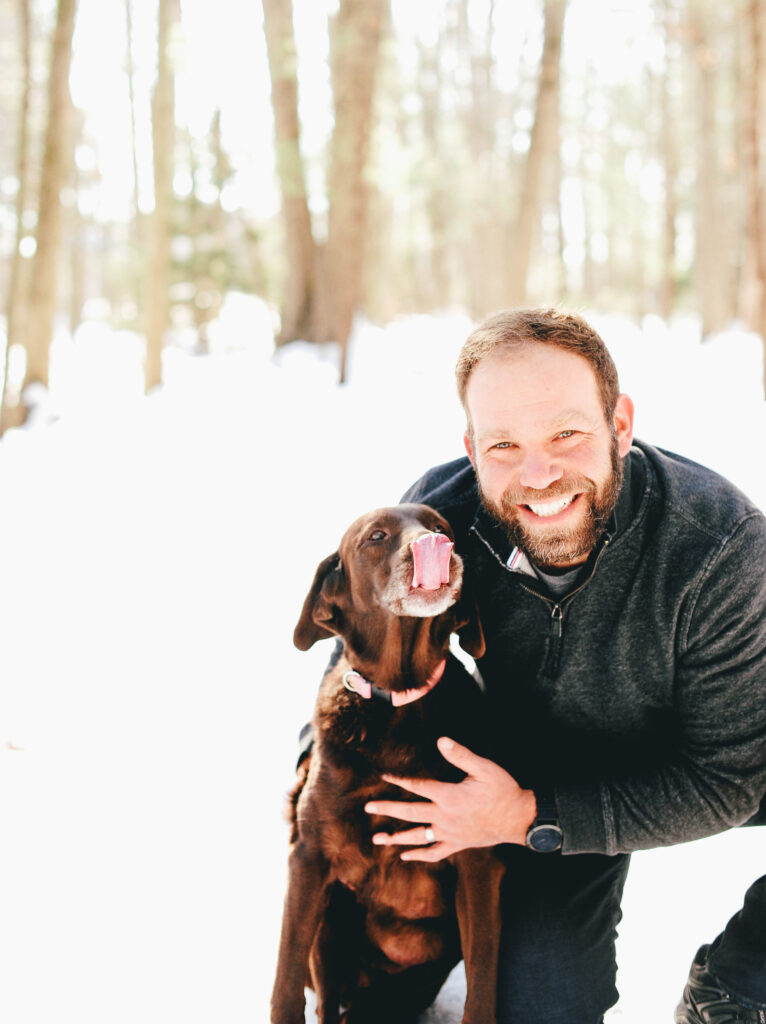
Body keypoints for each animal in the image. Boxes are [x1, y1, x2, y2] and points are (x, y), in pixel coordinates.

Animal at [272, 503, 505, 1024]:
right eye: (376, 536)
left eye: (440, 527)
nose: (437, 546)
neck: (397, 700)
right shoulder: (309, 858)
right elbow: (286, 973)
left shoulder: (476, 859)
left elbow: (483, 976)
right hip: (332, 924)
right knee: (328, 997)